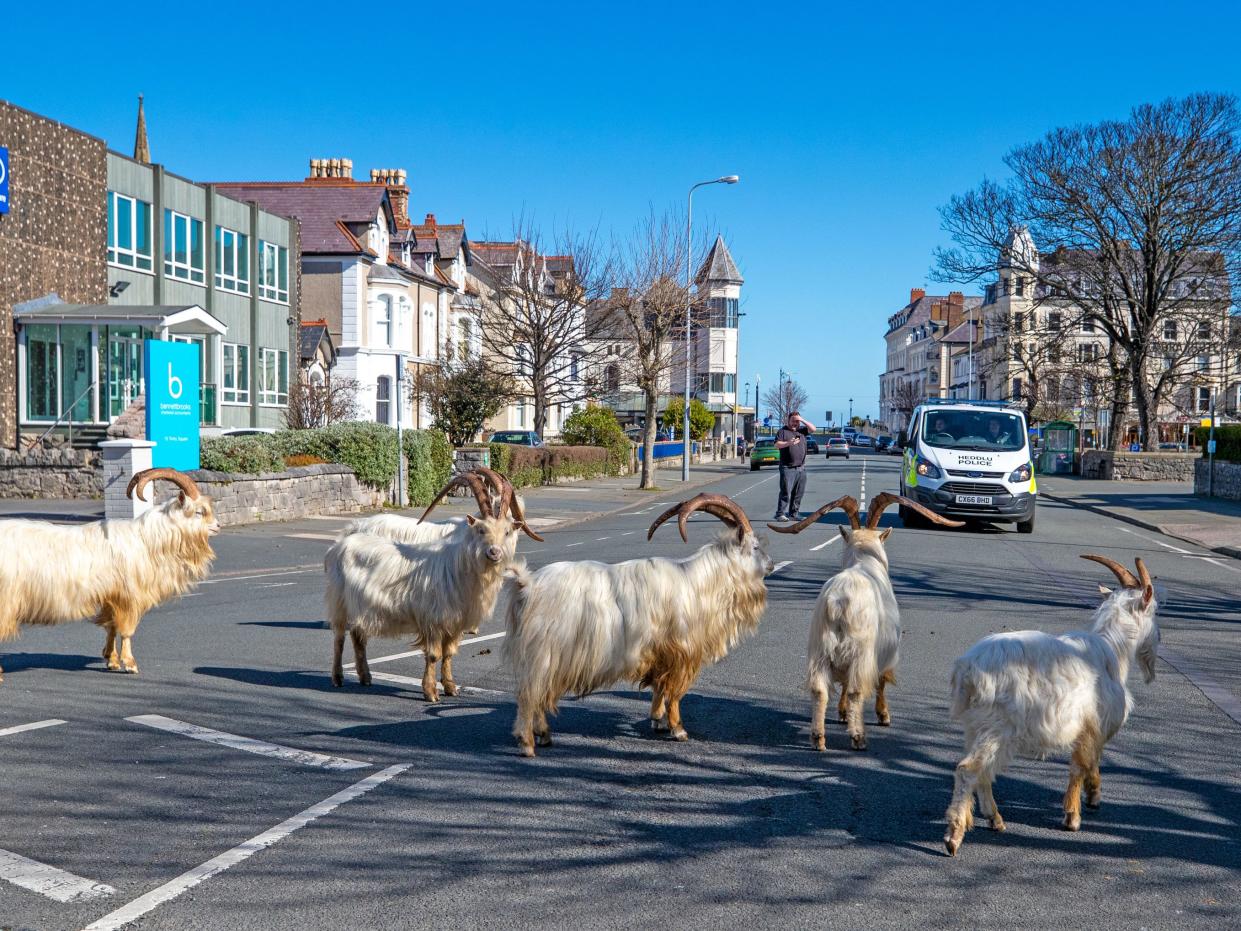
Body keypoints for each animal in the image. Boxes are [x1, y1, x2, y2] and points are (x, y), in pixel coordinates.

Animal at [0, 469, 217, 680]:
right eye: (199, 511)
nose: (217, 526)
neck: (147, 540)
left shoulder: (110, 594)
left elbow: (111, 625)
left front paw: (111, 660)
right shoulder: (129, 595)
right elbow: (127, 630)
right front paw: (130, 664)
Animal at [327, 476, 526, 705]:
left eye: (507, 531)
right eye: (481, 529)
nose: (494, 552)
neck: (458, 567)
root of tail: (342, 540)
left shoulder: (456, 622)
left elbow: (449, 653)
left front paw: (450, 687)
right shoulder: (433, 620)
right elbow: (433, 655)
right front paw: (430, 692)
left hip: (361, 606)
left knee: (358, 637)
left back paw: (365, 677)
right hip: (339, 602)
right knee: (339, 638)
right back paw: (338, 678)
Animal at [503, 496, 774, 759]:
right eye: (755, 547)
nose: (771, 564)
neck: (699, 584)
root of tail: (527, 584)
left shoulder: (660, 653)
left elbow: (659, 687)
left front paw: (658, 721)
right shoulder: (682, 651)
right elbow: (675, 692)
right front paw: (678, 730)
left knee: (539, 694)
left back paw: (544, 734)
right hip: (545, 652)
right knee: (530, 694)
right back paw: (527, 743)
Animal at [769, 491, 963, 754]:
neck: (864, 562)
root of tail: (839, 600)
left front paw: (841, 714)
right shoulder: (886, 651)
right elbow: (881, 682)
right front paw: (883, 716)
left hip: (819, 650)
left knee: (820, 690)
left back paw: (818, 738)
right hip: (861, 650)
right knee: (855, 690)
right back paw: (858, 737)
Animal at [938, 553, 1161, 859]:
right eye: (1155, 611)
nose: (1158, 641)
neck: (1112, 650)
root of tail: (967, 670)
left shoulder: (1090, 727)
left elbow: (1091, 761)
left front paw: (1093, 795)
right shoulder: (1092, 724)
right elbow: (1081, 765)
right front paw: (1073, 817)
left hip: (975, 727)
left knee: (981, 771)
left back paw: (995, 819)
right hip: (998, 727)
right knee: (969, 769)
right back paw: (954, 836)